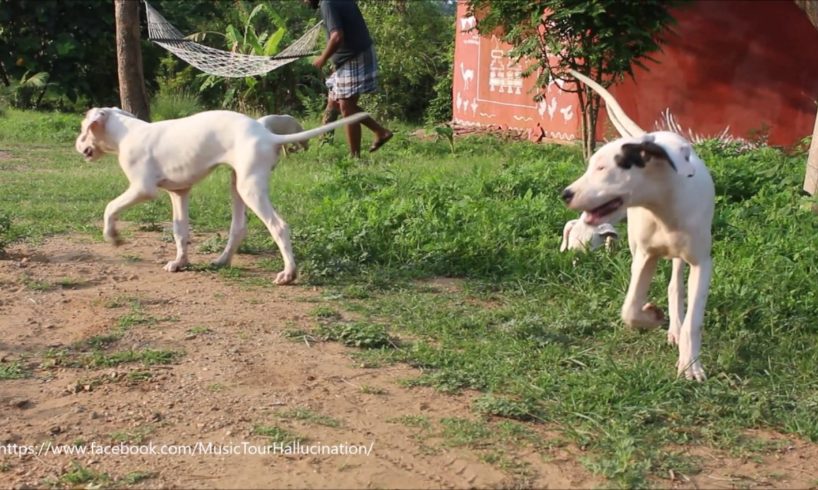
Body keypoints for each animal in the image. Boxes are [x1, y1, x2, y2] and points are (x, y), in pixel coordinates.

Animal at [556, 70, 712, 382]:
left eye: (602, 169)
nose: (565, 194)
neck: (662, 208)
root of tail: (648, 136)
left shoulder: (702, 263)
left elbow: (694, 320)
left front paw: (691, 365)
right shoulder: (644, 257)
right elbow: (629, 308)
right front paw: (650, 316)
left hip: (681, 257)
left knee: (676, 286)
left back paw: (676, 329)